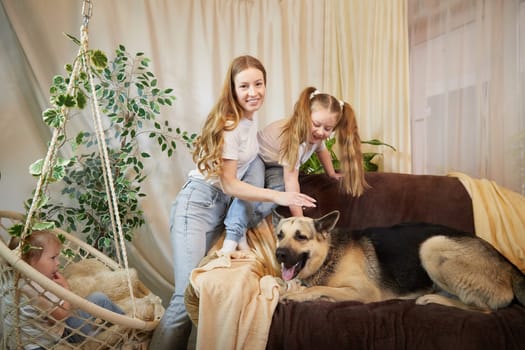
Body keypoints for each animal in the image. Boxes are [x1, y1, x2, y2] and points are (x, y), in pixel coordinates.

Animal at [272, 209, 524, 314]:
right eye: (279, 235)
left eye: (301, 237)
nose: (279, 254)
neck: (329, 255)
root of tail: (507, 265)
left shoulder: (365, 292)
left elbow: (318, 288)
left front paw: (298, 295)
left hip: (431, 246)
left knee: (484, 309)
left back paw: (431, 299)